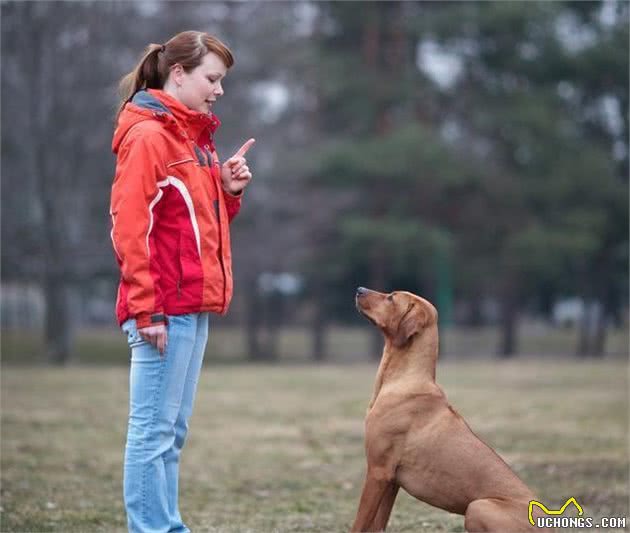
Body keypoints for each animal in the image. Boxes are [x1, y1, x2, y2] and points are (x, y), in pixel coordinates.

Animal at [350, 288, 548, 528]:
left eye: (391, 298)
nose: (359, 289)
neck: (405, 379)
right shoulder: (391, 480)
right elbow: (377, 525)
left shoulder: (378, 472)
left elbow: (359, 524)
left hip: (478, 507)